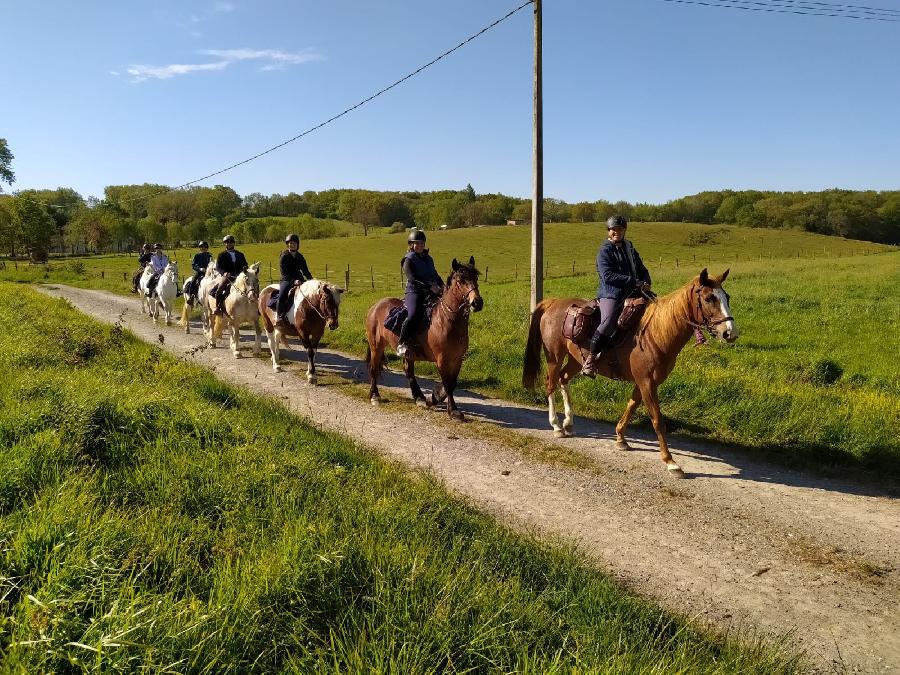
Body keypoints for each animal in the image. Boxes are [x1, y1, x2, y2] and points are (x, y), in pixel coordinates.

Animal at [362, 258, 482, 420]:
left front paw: (434, 397)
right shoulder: (442, 359)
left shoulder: (457, 359)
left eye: (475, 277)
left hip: (408, 353)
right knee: (374, 368)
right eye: (460, 280)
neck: (447, 320)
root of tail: (375, 306)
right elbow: (448, 383)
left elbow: (452, 382)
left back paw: (419, 397)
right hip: (376, 346)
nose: (477, 302)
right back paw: (375, 396)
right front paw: (453, 410)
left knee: (409, 371)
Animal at [520, 266, 740, 478]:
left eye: (727, 297)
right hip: (554, 357)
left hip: (576, 360)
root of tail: (552, 303)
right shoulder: (646, 382)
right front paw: (671, 462)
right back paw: (557, 426)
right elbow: (657, 420)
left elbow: (631, 406)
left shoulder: (644, 382)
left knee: (563, 379)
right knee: (550, 384)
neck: (655, 333)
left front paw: (620, 438)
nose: (730, 333)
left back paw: (568, 422)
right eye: (709, 298)